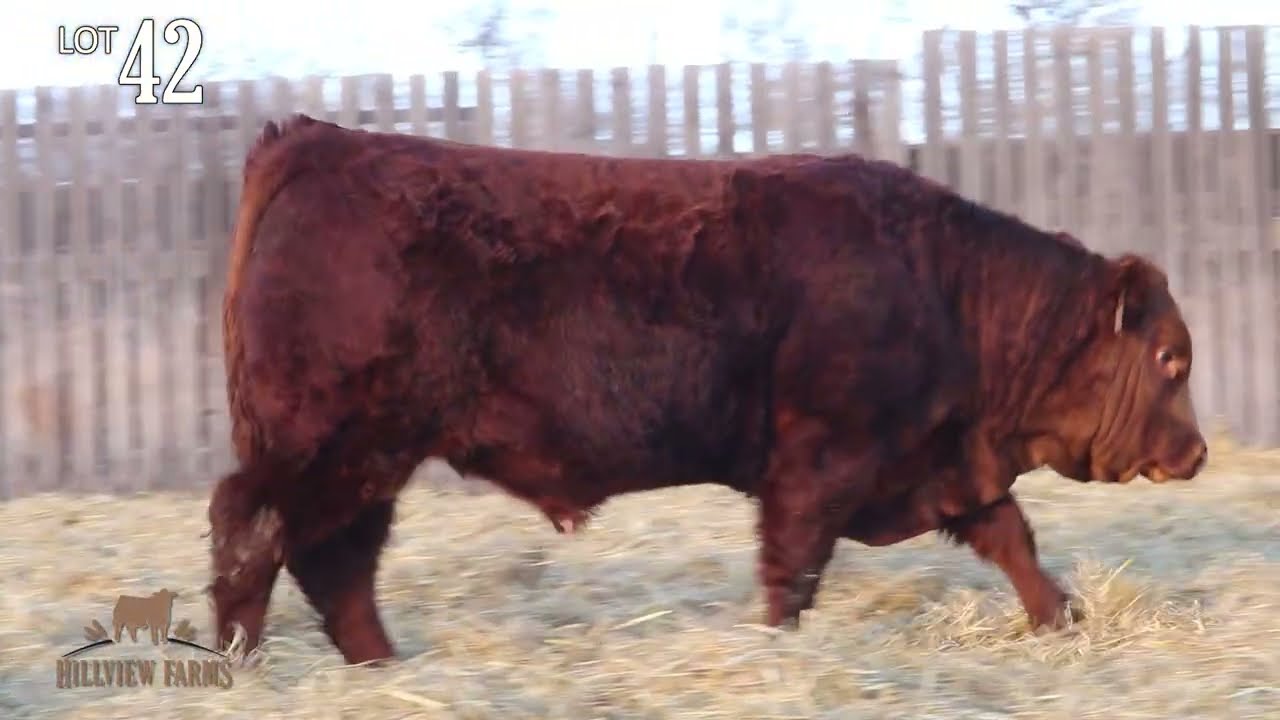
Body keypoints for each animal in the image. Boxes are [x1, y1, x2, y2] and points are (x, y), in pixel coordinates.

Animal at [207, 114, 1207, 666]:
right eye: (1170, 358)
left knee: (333, 564)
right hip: (335, 448)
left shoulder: (941, 466)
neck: (946, 286)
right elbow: (792, 574)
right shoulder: (816, 469)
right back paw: (242, 665)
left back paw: (381, 668)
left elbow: (1013, 541)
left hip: (367, 462)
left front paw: (1064, 622)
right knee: (256, 531)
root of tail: (313, 143)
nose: (1195, 452)